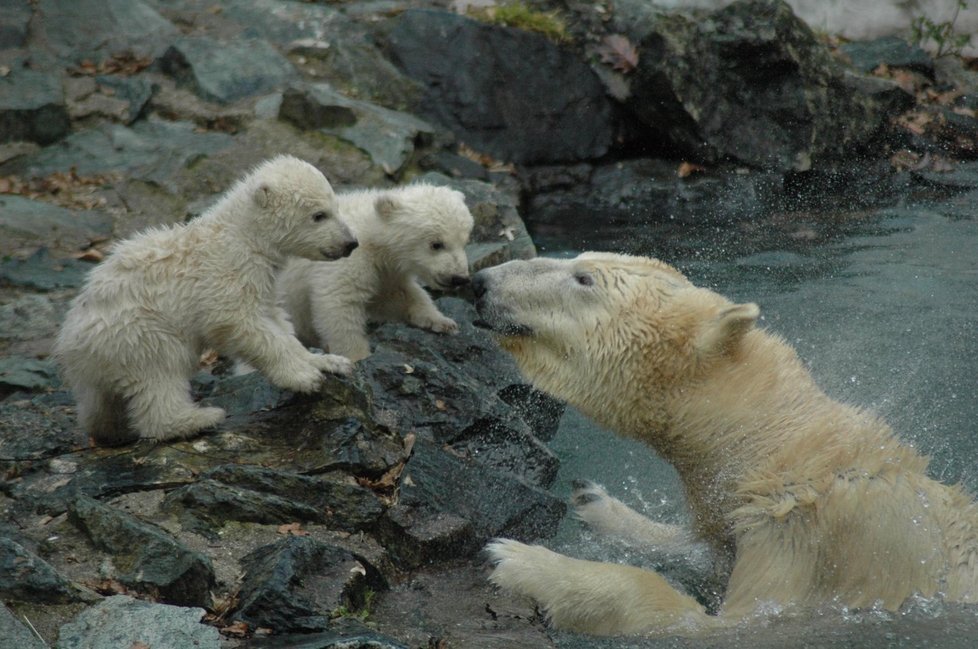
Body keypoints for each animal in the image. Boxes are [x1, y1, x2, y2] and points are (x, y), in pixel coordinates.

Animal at [470, 252, 976, 632]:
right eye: (577, 260)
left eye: (583, 278)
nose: (480, 281)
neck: (779, 447)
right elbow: (706, 548)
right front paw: (598, 504)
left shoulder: (804, 545)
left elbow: (714, 624)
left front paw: (520, 560)